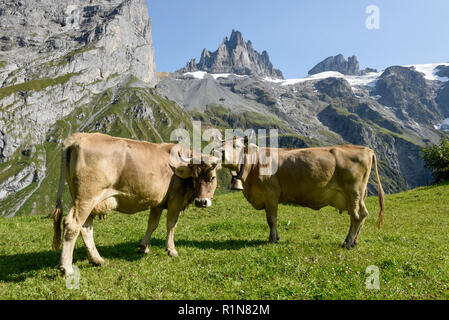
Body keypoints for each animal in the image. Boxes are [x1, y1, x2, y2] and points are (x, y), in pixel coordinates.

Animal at [51, 132, 220, 276]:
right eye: (195, 178)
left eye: (211, 178)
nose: (201, 202)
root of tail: (78, 136)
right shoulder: (175, 200)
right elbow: (171, 225)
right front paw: (171, 249)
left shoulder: (157, 202)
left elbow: (152, 224)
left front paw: (143, 247)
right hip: (86, 198)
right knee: (72, 225)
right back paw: (66, 268)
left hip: (87, 201)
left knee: (85, 228)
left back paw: (97, 260)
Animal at [220, 139, 382, 249]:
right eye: (221, 143)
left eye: (236, 146)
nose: (220, 152)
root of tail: (366, 149)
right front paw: (275, 238)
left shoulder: (271, 194)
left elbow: (272, 220)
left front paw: (272, 239)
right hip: (358, 195)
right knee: (362, 215)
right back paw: (354, 241)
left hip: (354, 191)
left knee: (357, 216)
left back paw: (347, 242)